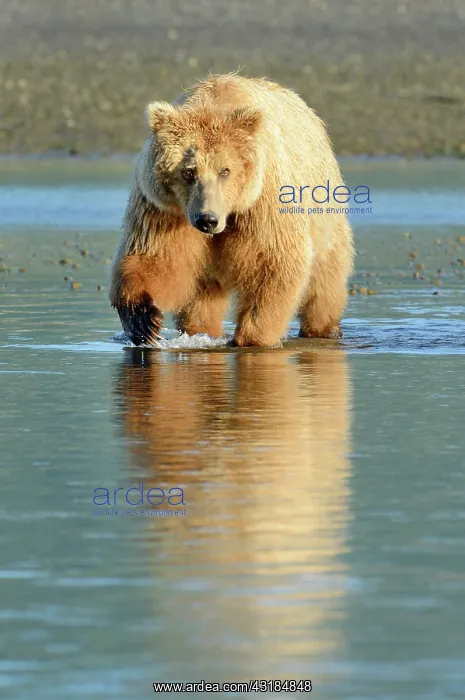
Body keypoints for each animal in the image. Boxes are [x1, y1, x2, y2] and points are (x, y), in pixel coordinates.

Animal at [110, 73, 354, 347]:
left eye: (225, 170)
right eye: (188, 171)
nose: (207, 220)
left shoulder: (264, 201)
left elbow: (273, 262)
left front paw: (252, 337)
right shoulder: (164, 209)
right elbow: (155, 256)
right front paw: (144, 320)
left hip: (323, 207)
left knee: (325, 277)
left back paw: (324, 328)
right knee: (202, 294)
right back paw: (201, 329)